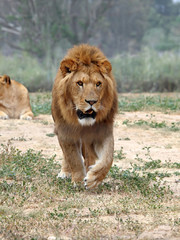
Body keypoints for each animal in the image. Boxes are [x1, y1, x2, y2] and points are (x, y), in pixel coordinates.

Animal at [51, 44, 118, 188]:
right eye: (80, 83)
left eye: (98, 84)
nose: (91, 102)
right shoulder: (65, 130)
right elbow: (73, 158)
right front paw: (78, 180)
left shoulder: (102, 130)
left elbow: (108, 157)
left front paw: (94, 177)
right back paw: (65, 172)